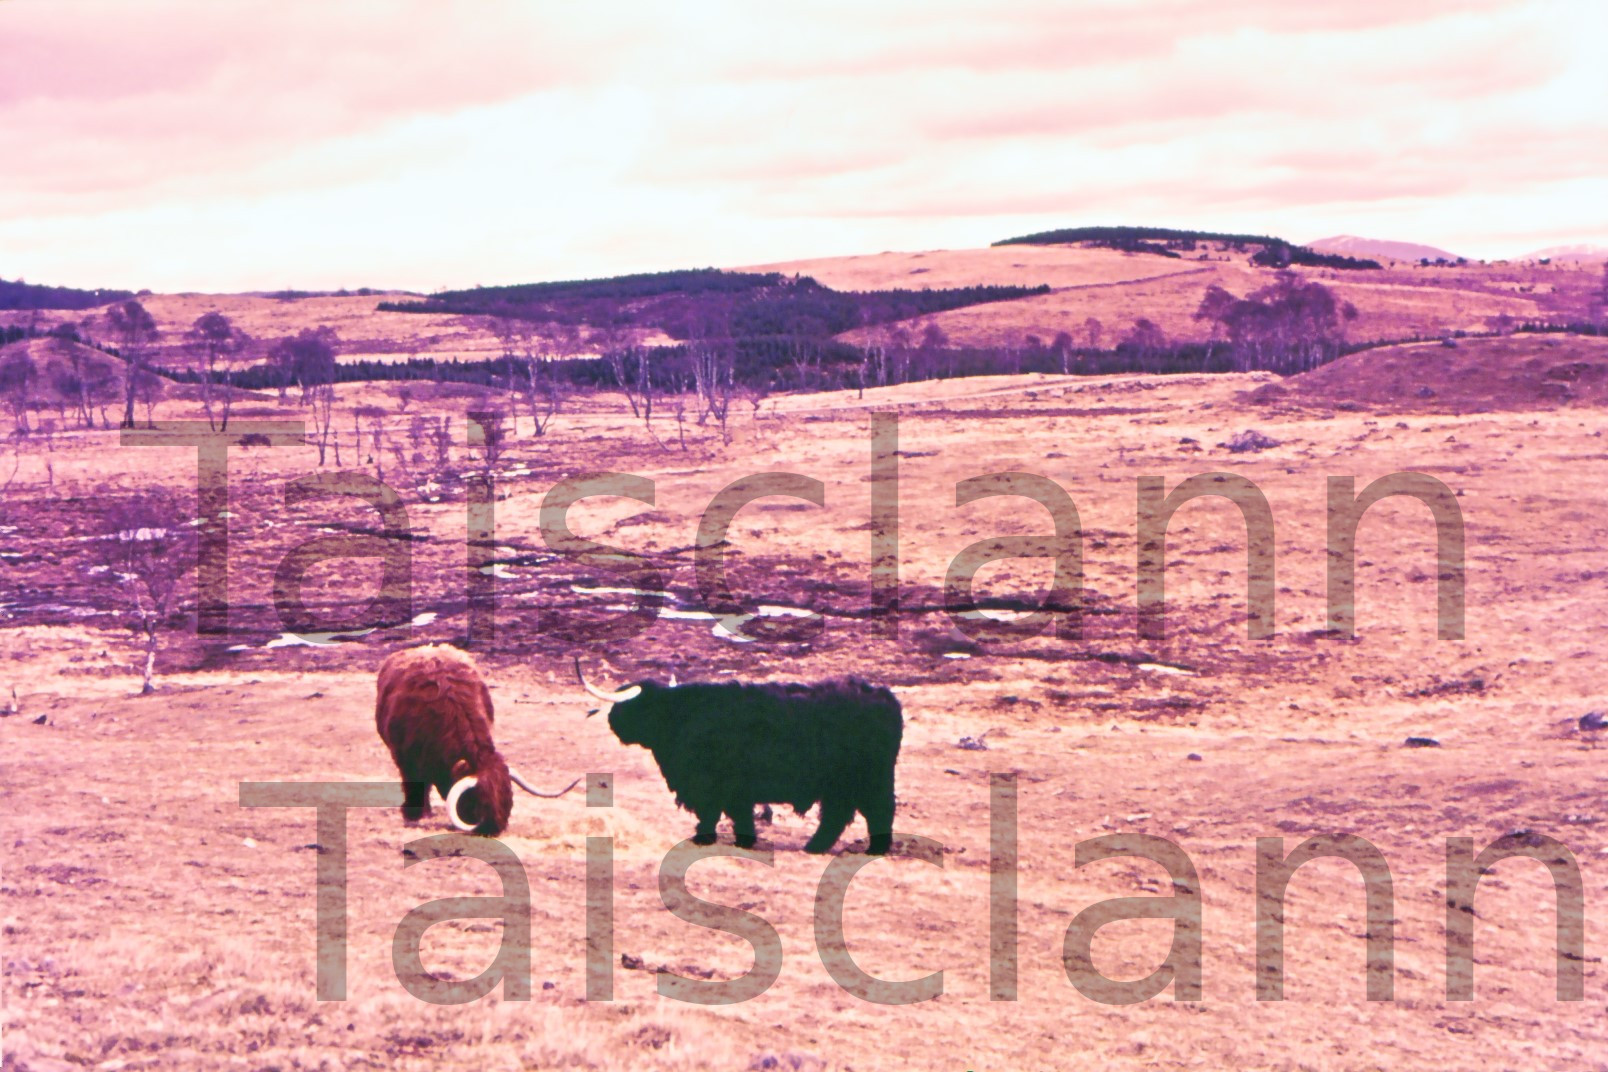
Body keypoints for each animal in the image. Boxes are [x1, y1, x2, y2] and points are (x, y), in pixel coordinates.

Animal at [582, 662, 906, 855]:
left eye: (627, 706)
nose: (612, 720)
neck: (682, 715)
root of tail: (884, 696)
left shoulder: (711, 784)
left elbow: (713, 813)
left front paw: (704, 838)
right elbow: (739, 815)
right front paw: (743, 840)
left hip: (868, 779)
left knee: (878, 810)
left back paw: (873, 849)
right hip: (842, 785)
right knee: (838, 816)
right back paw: (814, 847)